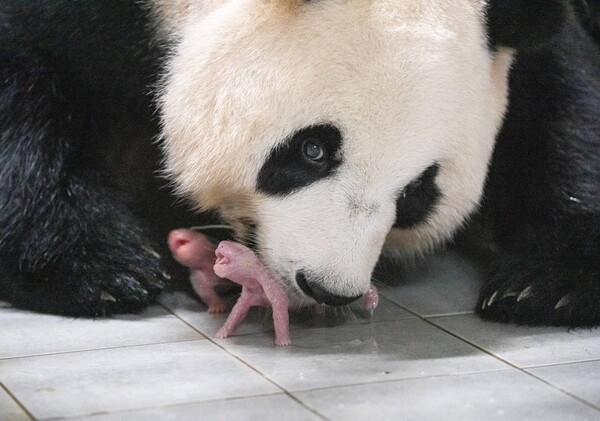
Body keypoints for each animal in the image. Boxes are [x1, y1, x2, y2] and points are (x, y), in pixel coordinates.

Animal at [1, 0, 600, 324]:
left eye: (417, 194)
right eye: (313, 150)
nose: (328, 287)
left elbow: (563, 102)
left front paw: (545, 285)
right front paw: (100, 267)